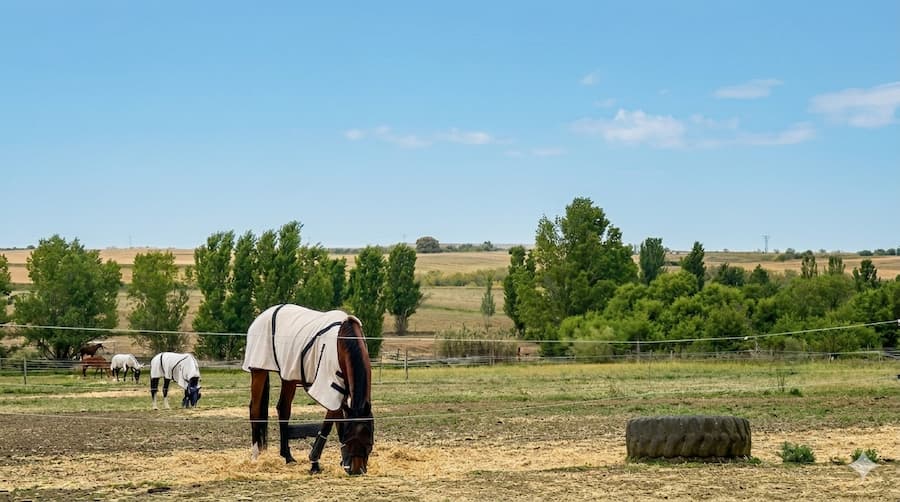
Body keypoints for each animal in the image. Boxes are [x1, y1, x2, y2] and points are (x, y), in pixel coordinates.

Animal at [243, 304, 374, 475]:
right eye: (350, 439)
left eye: (369, 440)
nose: (357, 470)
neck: (342, 341)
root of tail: (263, 315)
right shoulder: (329, 389)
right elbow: (333, 424)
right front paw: (315, 462)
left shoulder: (340, 391)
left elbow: (334, 423)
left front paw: (340, 461)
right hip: (259, 371)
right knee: (255, 409)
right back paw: (255, 455)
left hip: (289, 377)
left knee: (283, 409)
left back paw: (288, 457)